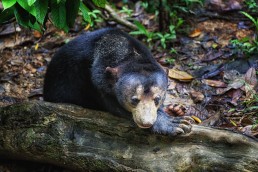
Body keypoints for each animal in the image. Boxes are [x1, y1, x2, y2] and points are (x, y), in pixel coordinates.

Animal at [42, 27, 191, 135]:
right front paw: (173, 124)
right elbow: (116, 107)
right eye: (134, 100)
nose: (147, 122)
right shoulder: (94, 81)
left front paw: (175, 111)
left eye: (157, 99)